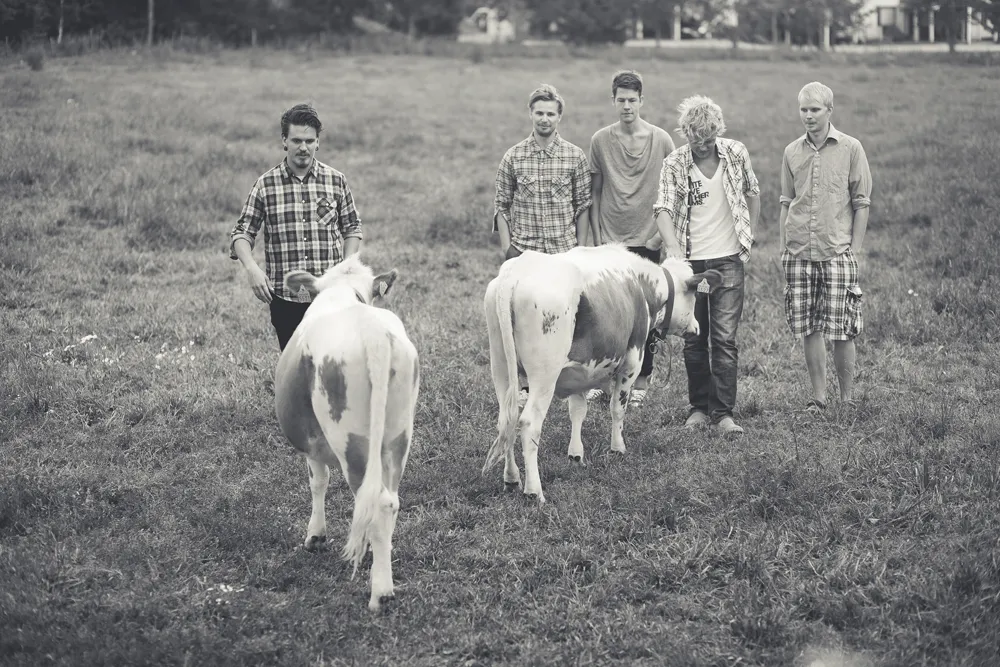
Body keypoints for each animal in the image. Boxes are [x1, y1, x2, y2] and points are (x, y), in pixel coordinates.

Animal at [274, 256, 419, 612]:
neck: (342, 292)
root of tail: (373, 333)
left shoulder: (312, 443)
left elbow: (318, 481)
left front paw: (316, 535)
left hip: (351, 442)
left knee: (375, 502)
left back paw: (381, 592)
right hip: (398, 437)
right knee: (389, 501)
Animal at [482, 244, 722, 504]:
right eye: (694, 296)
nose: (697, 327)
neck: (641, 284)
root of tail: (516, 271)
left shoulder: (579, 372)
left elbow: (578, 410)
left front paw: (576, 455)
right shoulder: (632, 361)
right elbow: (618, 408)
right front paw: (617, 448)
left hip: (501, 369)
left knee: (507, 419)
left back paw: (511, 478)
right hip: (544, 375)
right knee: (528, 424)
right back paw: (534, 491)